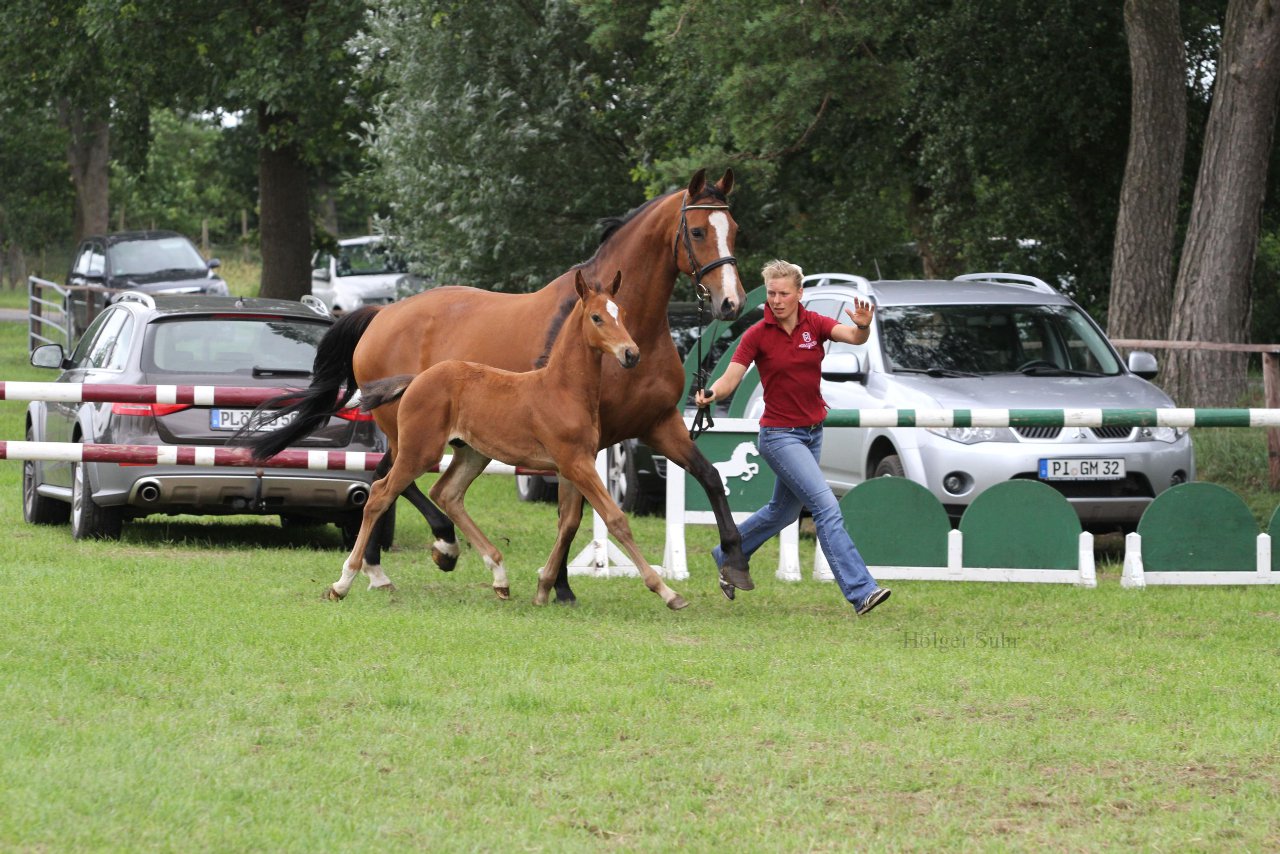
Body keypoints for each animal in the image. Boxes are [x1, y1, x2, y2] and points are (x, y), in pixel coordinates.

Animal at [335, 270, 686, 612]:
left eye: (622, 314)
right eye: (597, 317)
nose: (631, 353)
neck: (562, 388)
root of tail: (416, 379)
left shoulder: (573, 464)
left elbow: (568, 522)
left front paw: (544, 589)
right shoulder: (577, 463)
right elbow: (615, 519)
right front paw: (668, 592)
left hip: (473, 454)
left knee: (447, 493)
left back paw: (498, 576)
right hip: (419, 451)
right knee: (380, 493)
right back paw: (344, 582)